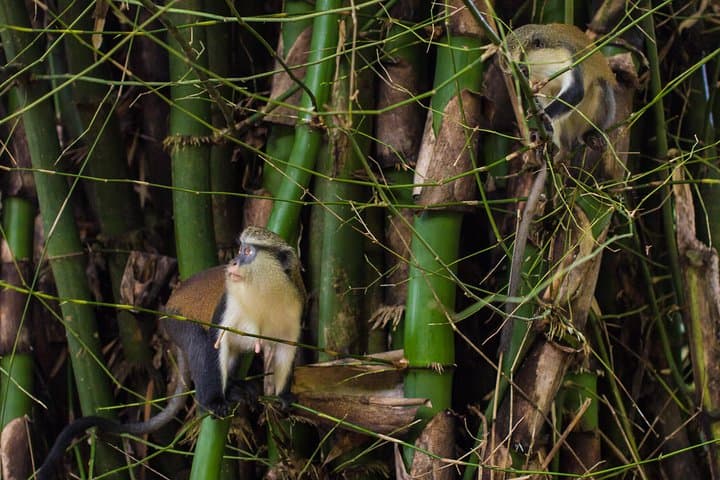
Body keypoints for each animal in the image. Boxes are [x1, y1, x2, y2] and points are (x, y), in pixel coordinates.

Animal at [37, 226, 306, 480]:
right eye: (240, 249)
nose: (233, 262)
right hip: (177, 324)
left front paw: (283, 395)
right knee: (201, 344)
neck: (265, 292)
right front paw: (214, 402)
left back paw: (234, 387)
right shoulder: (229, 305)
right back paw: (212, 400)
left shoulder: (294, 305)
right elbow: (215, 342)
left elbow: (286, 349)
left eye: (247, 251)